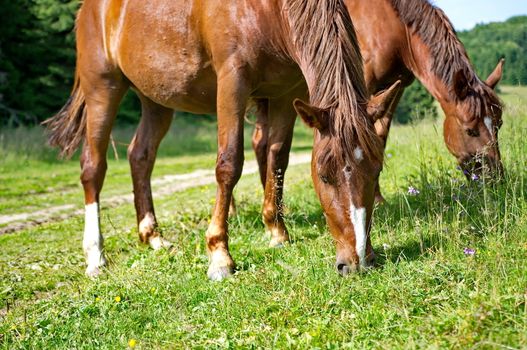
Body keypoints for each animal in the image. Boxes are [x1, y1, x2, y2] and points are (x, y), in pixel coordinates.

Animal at [44, 0, 396, 278]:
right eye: (323, 176)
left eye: (376, 171)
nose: (358, 260)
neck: (269, 10)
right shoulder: (232, 82)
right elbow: (229, 164)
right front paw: (220, 256)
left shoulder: (286, 93)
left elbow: (277, 158)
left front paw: (277, 232)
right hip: (103, 88)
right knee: (93, 167)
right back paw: (95, 256)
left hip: (155, 99)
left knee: (140, 156)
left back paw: (153, 236)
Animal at [252, 0, 508, 202]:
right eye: (470, 130)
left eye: (499, 125)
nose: (495, 179)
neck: (395, 27)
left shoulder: (393, 89)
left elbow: (379, 137)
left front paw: (377, 198)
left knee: (260, 143)